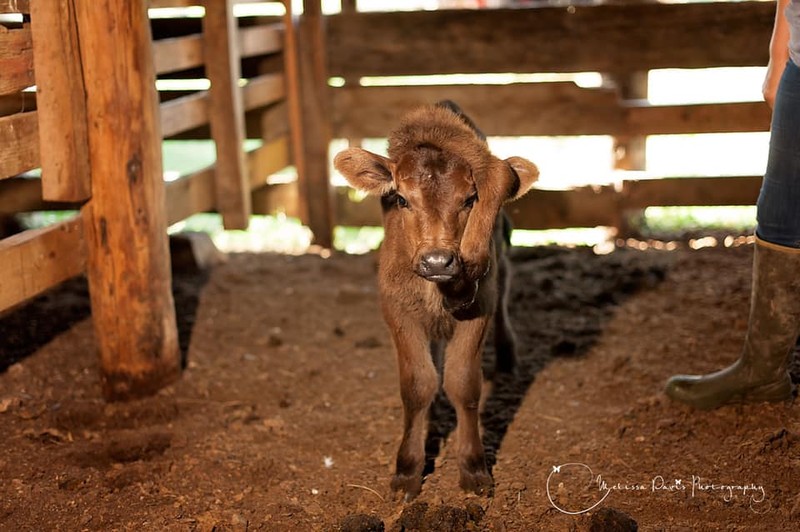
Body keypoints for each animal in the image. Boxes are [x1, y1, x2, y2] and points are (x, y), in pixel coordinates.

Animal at [332, 102, 536, 500]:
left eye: (470, 199)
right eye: (401, 199)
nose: (438, 261)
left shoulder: (478, 309)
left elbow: (464, 383)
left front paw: (474, 468)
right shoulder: (397, 311)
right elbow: (417, 385)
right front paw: (407, 470)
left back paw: (507, 355)